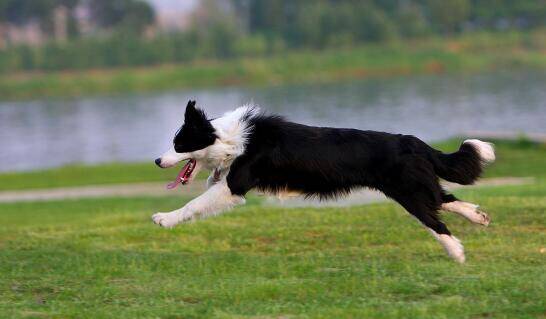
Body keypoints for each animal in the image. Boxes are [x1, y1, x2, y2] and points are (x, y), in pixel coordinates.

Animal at [153, 101, 492, 264]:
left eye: (179, 145)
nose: (156, 161)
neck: (228, 138)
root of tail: (413, 141)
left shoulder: (235, 184)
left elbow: (193, 204)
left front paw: (164, 218)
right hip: (415, 186)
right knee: (445, 199)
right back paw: (478, 217)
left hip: (408, 192)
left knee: (436, 220)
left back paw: (457, 253)